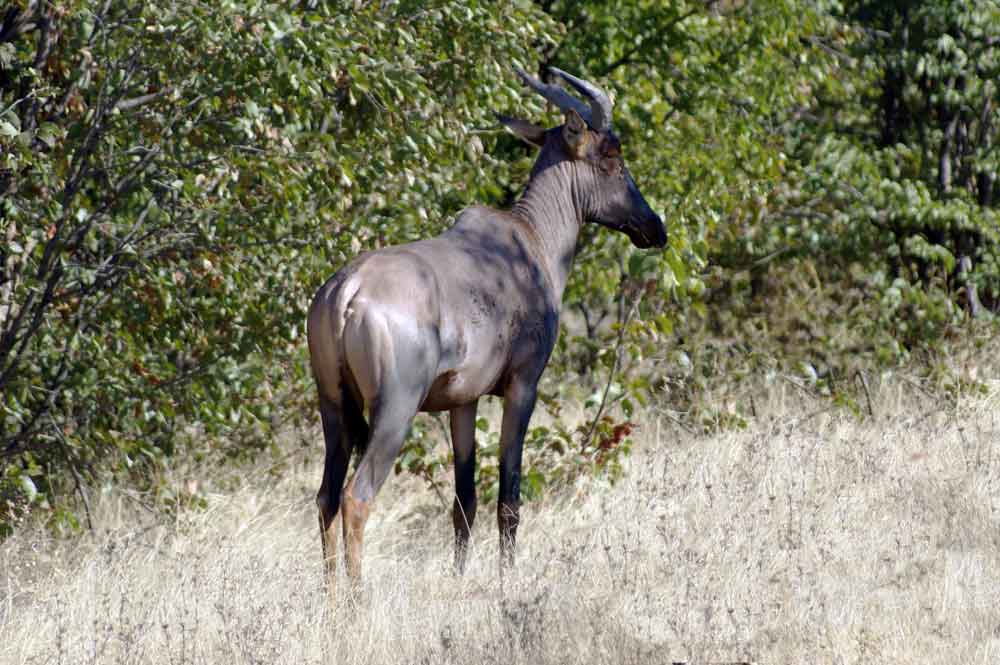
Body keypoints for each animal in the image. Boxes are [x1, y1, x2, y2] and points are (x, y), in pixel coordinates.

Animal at [304, 65, 664, 588]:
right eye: (612, 157)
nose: (654, 228)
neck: (526, 240)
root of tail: (346, 291)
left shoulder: (463, 401)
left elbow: (465, 501)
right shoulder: (522, 386)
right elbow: (508, 499)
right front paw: (506, 585)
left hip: (334, 408)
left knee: (326, 499)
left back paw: (331, 600)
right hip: (395, 410)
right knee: (357, 497)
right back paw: (357, 600)